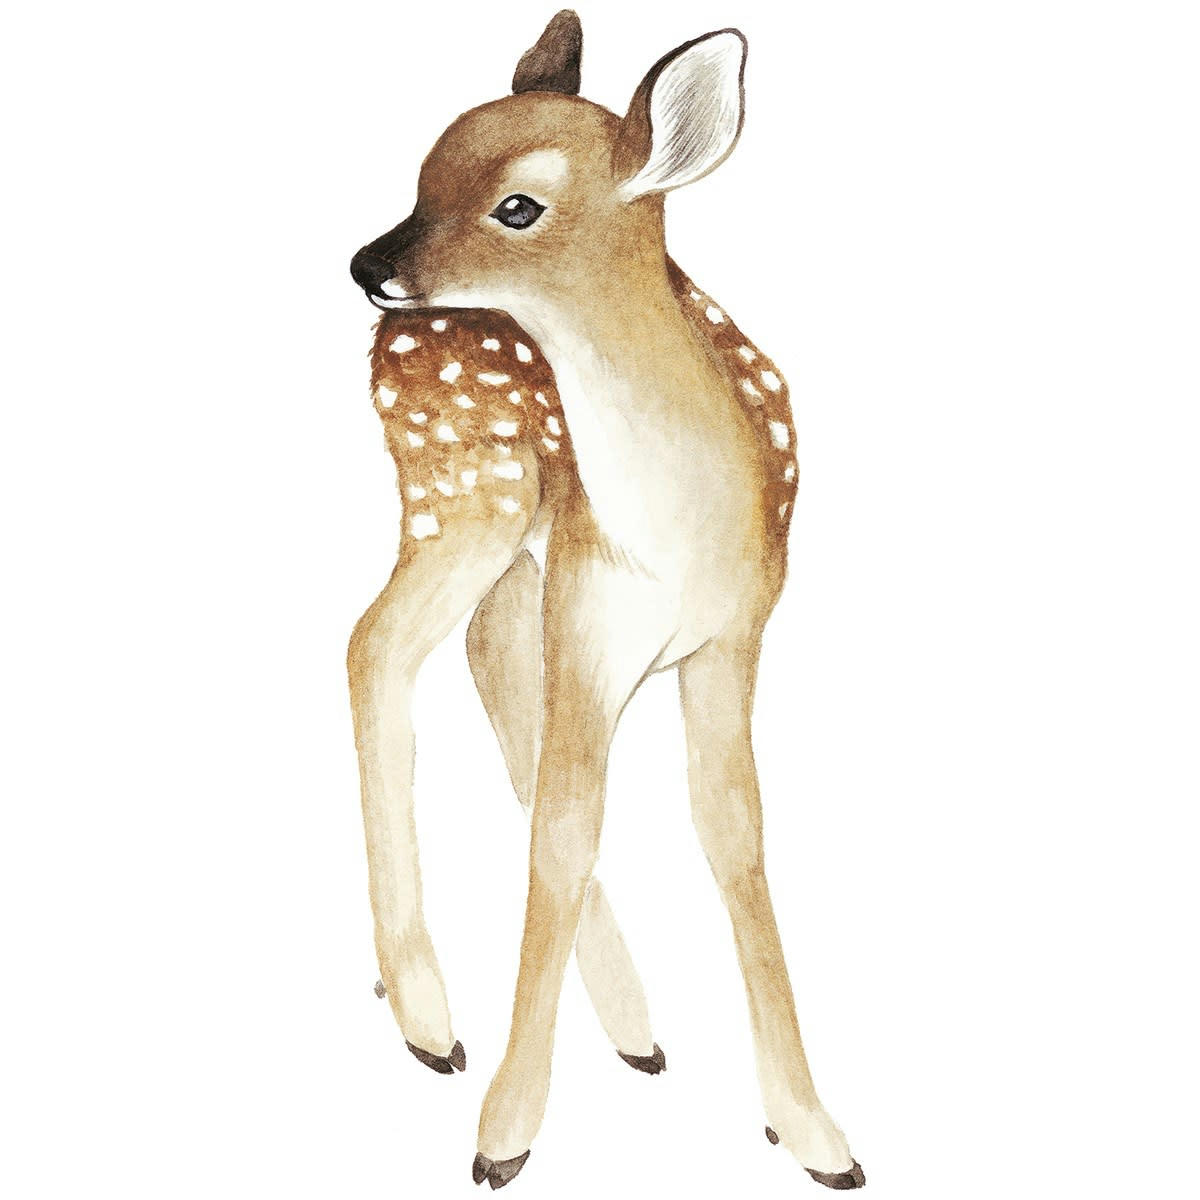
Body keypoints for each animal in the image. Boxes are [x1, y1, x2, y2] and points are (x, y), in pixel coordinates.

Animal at [347, 11, 864, 1192]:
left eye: (517, 205)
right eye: (423, 169)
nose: (368, 262)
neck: (677, 532)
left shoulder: (734, 635)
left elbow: (733, 835)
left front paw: (813, 1130)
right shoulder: (593, 619)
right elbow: (568, 831)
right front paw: (504, 1134)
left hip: (512, 533)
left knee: (479, 657)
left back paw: (628, 1027)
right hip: (465, 495)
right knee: (378, 646)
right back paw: (432, 1018)